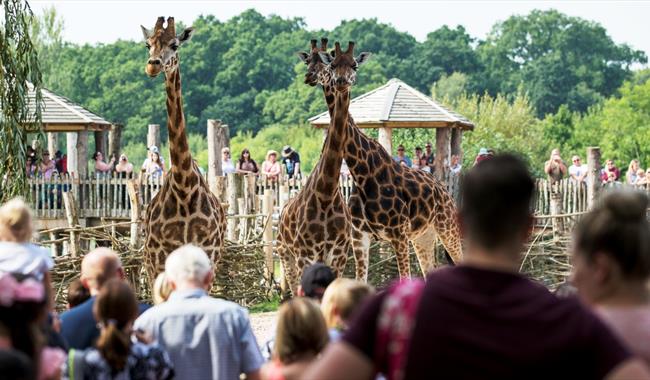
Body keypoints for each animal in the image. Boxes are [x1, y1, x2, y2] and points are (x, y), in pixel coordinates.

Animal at [139, 17, 225, 282]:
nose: (153, 66)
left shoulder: (209, 254)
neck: (184, 187)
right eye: (148, 45)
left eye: (175, 45)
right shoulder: (157, 259)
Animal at [274, 38, 356, 296]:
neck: (327, 192)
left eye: (354, 64)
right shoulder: (305, 254)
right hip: (285, 255)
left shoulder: (338, 253)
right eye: (308, 60)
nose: (310, 77)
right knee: (290, 290)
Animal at [314, 41, 460, 280]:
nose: (341, 82)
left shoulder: (398, 234)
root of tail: (443, 188)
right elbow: (360, 279)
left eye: (354, 65)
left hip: (447, 227)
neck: (361, 173)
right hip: (424, 236)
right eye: (332, 65)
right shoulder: (359, 237)